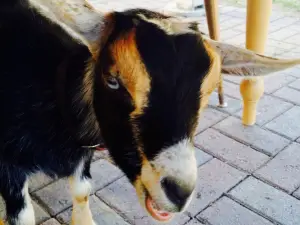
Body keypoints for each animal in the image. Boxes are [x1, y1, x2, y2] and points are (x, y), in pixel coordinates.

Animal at [0, 0, 300, 224]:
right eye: (112, 80)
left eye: (210, 90)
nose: (179, 191)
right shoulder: (8, 164)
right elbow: (23, 215)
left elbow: (82, 191)